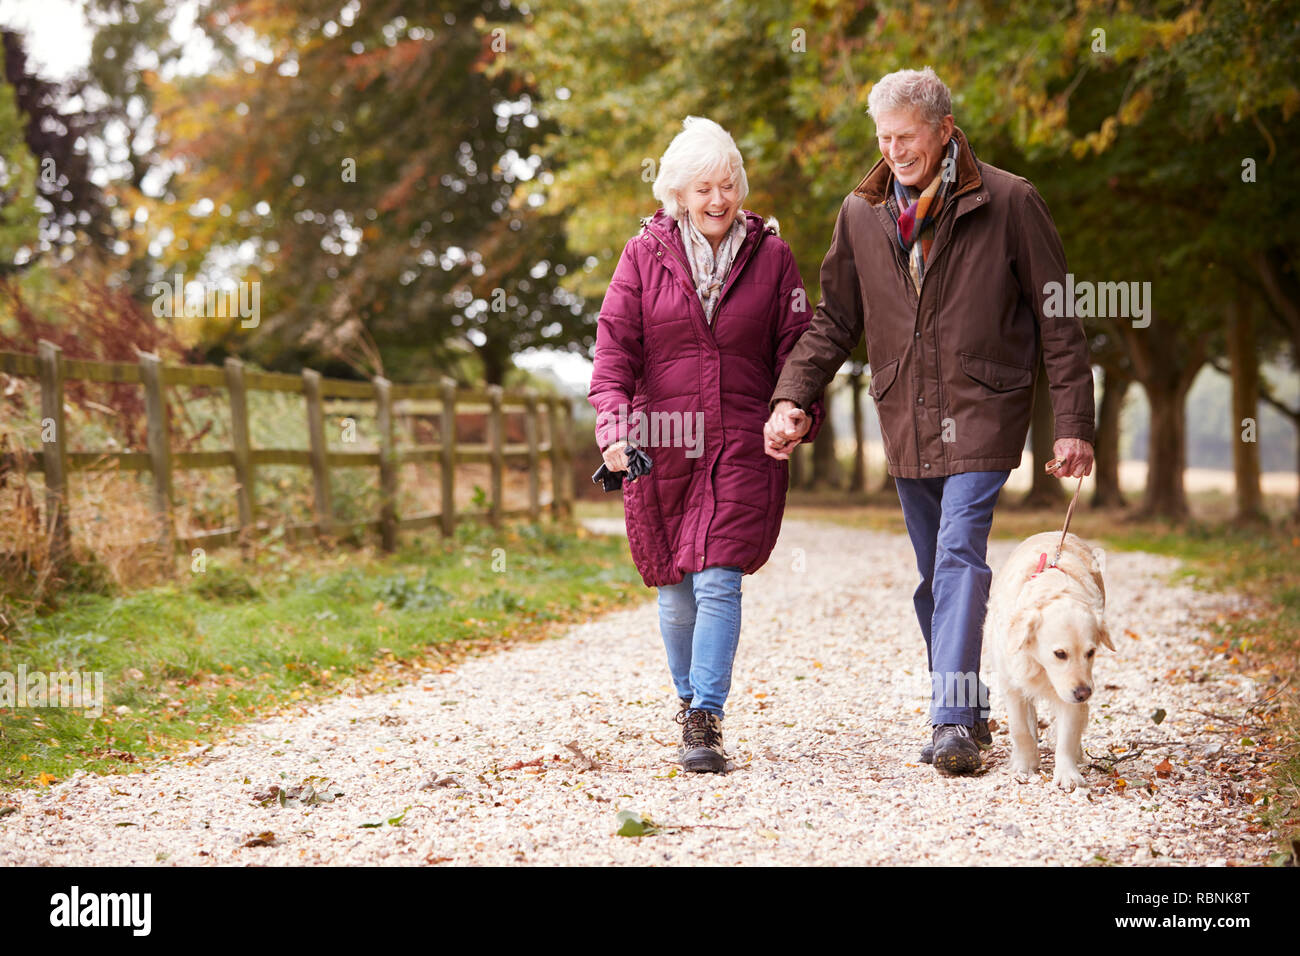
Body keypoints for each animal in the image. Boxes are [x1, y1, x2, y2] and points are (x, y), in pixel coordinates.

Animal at [982, 530, 1118, 790]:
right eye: (1060, 654)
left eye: (1091, 652)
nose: (1084, 693)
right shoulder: (1011, 684)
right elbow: (1020, 729)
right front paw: (1025, 764)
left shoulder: (1070, 695)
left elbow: (1067, 736)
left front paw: (1067, 774)